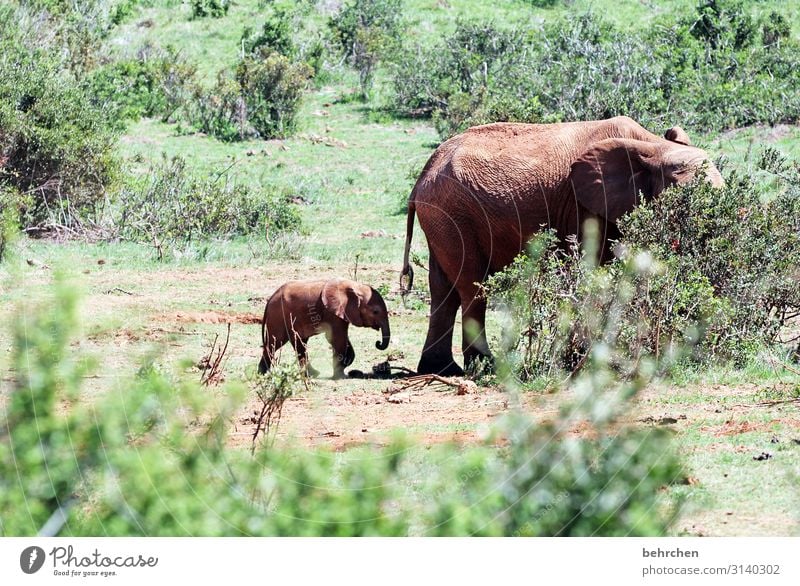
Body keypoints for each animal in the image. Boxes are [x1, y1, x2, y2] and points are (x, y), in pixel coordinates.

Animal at [260, 278, 390, 378]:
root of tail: (270, 299)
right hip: (278, 317)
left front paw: (346, 364)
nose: (378, 343)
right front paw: (340, 376)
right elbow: (337, 339)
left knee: (297, 344)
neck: (355, 286)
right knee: (275, 343)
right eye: (375, 312)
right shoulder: (332, 312)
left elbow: (342, 339)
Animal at [400, 114, 724, 374]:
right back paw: (484, 368)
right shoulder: (582, 207)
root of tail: (423, 174)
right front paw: (585, 361)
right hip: (455, 212)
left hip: (443, 216)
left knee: (443, 288)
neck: (653, 147)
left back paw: (441, 369)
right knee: (471, 286)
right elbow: (589, 273)